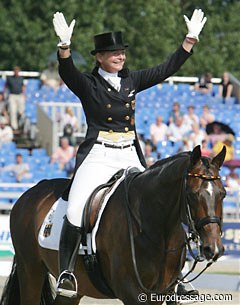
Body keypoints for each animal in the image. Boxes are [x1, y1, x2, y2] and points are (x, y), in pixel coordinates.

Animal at [0, 145, 226, 304]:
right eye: (192, 194)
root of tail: (29, 193)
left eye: (223, 193)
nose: (213, 248)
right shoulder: (131, 292)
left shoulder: (162, 292)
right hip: (31, 271)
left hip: (73, 290)